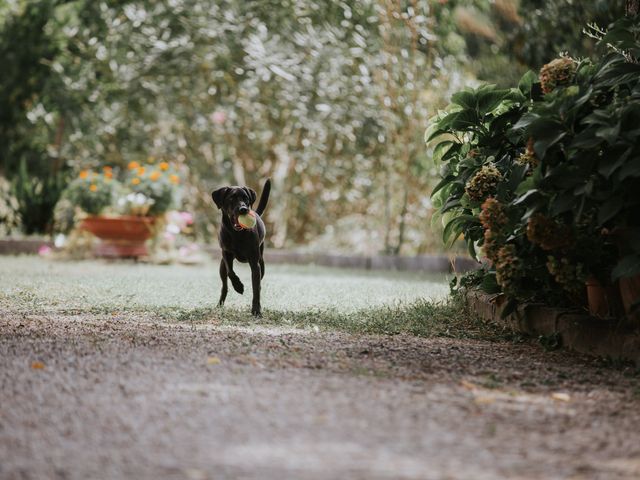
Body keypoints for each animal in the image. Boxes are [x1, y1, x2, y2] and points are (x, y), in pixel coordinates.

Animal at [211, 178, 268, 316]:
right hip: (221, 267)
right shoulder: (226, 254)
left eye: (246, 198)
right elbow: (231, 272)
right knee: (225, 286)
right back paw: (219, 305)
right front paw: (238, 286)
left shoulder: (255, 263)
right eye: (231, 198)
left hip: (261, 262)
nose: (243, 209)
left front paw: (256, 310)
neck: (236, 233)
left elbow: (256, 288)